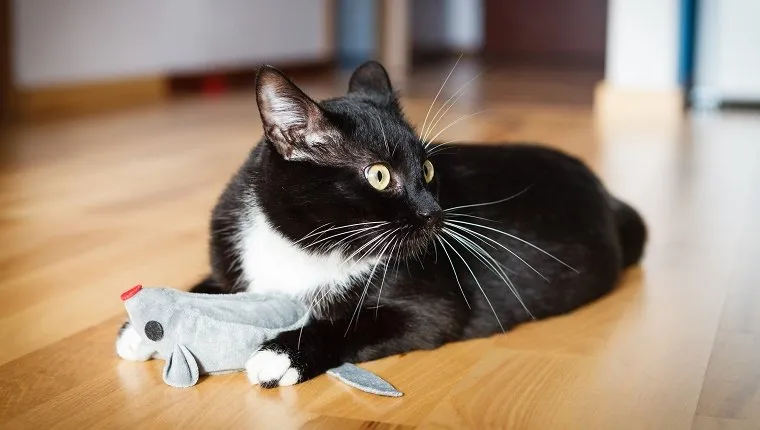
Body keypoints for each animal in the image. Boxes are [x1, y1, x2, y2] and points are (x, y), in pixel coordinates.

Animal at [116, 59, 644, 386]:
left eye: (428, 169)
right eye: (379, 174)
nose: (433, 213)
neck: (304, 245)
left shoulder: (432, 305)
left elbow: (359, 323)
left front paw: (283, 353)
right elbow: (209, 285)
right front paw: (141, 330)